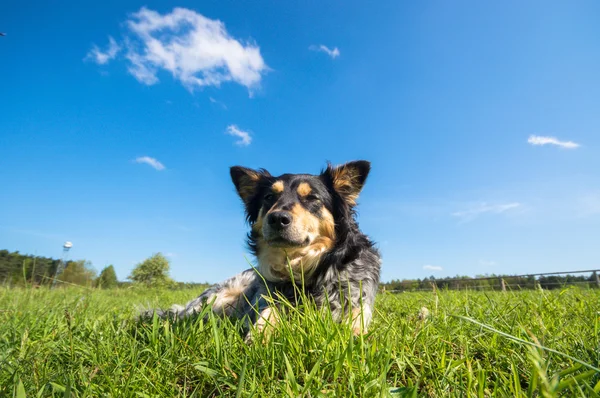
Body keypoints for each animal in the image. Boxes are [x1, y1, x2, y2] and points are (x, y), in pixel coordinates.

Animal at [151, 160, 384, 340]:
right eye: (269, 197)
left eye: (312, 198)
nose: (277, 218)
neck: (305, 270)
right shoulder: (269, 297)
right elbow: (268, 313)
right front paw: (259, 336)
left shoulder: (358, 299)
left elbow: (356, 322)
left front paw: (354, 338)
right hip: (214, 299)